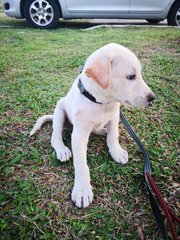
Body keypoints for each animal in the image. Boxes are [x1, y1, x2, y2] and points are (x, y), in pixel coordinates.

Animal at [30, 43, 154, 208]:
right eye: (131, 76)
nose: (152, 98)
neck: (101, 102)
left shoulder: (115, 116)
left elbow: (113, 136)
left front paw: (116, 151)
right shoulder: (79, 135)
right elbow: (81, 164)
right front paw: (82, 190)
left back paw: (103, 131)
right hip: (60, 109)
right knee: (55, 136)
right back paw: (62, 149)